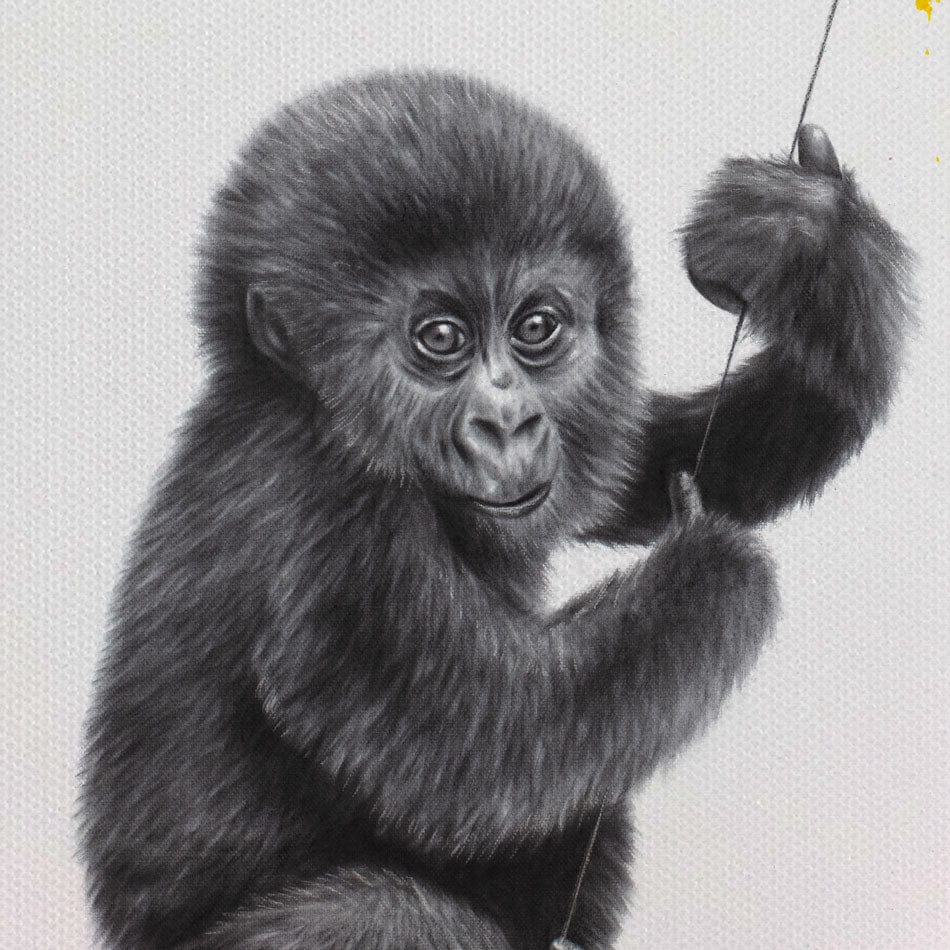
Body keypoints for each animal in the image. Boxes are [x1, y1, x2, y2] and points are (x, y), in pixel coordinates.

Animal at [79, 70, 913, 949]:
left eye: (536, 327)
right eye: (441, 339)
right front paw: (712, 566)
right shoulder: (331, 529)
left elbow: (670, 459)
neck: (307, 404)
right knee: (382, 914)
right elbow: (489, 747)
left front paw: (808, 240)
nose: (508, 423)